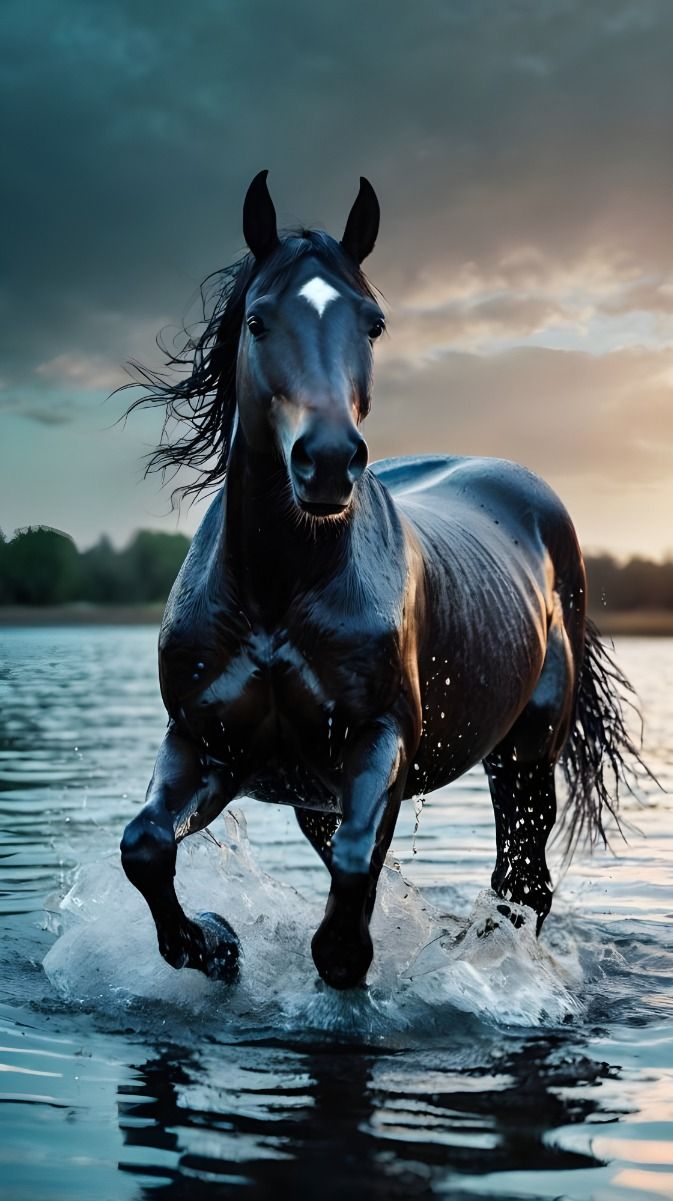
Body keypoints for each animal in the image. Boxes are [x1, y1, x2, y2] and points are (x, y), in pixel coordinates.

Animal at [120, 171, 638, 990]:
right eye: (258, 321)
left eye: (373, 325)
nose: (328, 461)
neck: (276, 594)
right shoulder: (205, 745)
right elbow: (145, 845)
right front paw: (214, 946)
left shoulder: (377, 743)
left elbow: (354, 881)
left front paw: (342, 966)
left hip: (524, 754)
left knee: (522, 882)